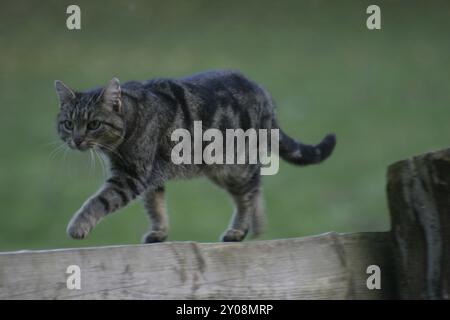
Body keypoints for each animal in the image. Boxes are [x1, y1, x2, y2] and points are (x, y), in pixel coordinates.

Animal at [54, 69, 336, 241]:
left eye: (93, 125)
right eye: (68, 124)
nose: (76, 140)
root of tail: (263, 93)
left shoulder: (131, 176)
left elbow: (98, 201)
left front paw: (78, 226)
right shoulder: (150, 177)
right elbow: (155, 206)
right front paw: (159, 232)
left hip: (234, 168)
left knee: (249, 194)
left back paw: (238, 230)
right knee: (256, 191)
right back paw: (258, 227)